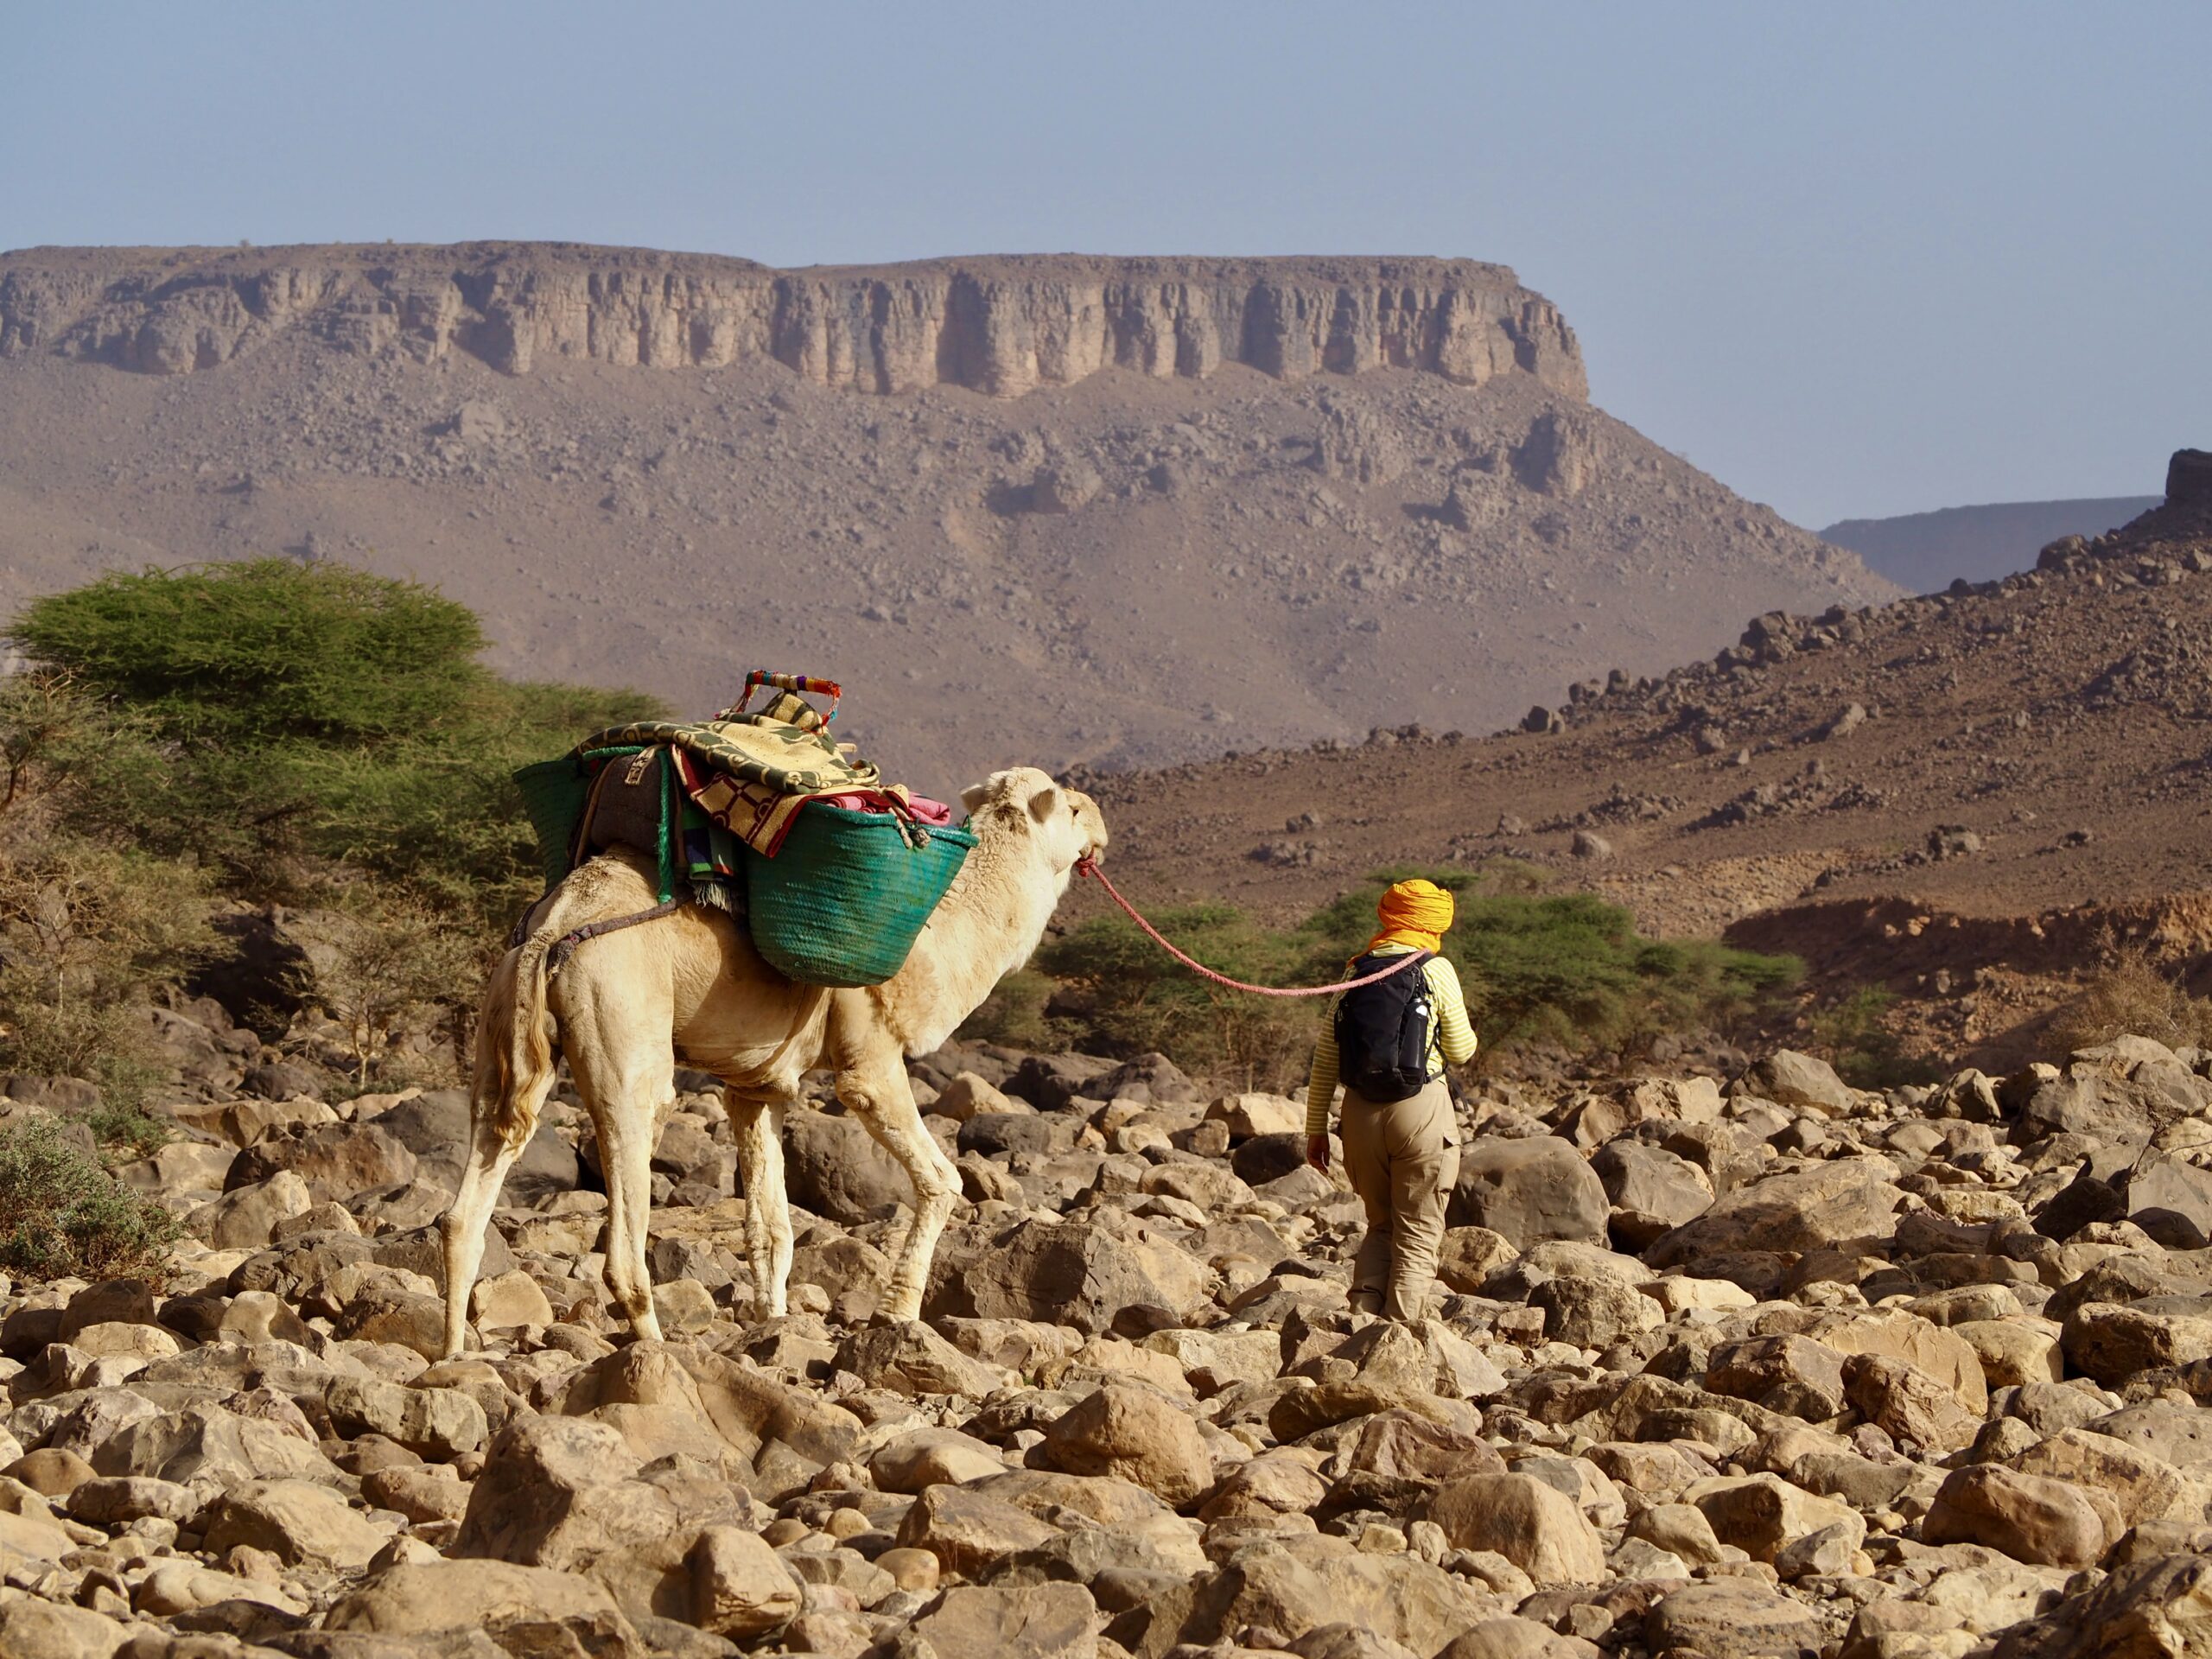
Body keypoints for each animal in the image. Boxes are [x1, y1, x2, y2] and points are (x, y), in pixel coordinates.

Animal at [435, 765, 1106, 1362]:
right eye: (1071, 808)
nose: (1100, 826)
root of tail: (555, 927)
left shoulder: (756, 1084)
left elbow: (772, 1224)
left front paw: (773, 1322)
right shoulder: (871, 1057)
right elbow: (942, 1180)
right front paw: (897, 1314)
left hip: (503, 1018)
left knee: (473, 1186)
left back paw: (452, 1354)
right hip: (621, 1013)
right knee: (630, 1176)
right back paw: (656, 1352)